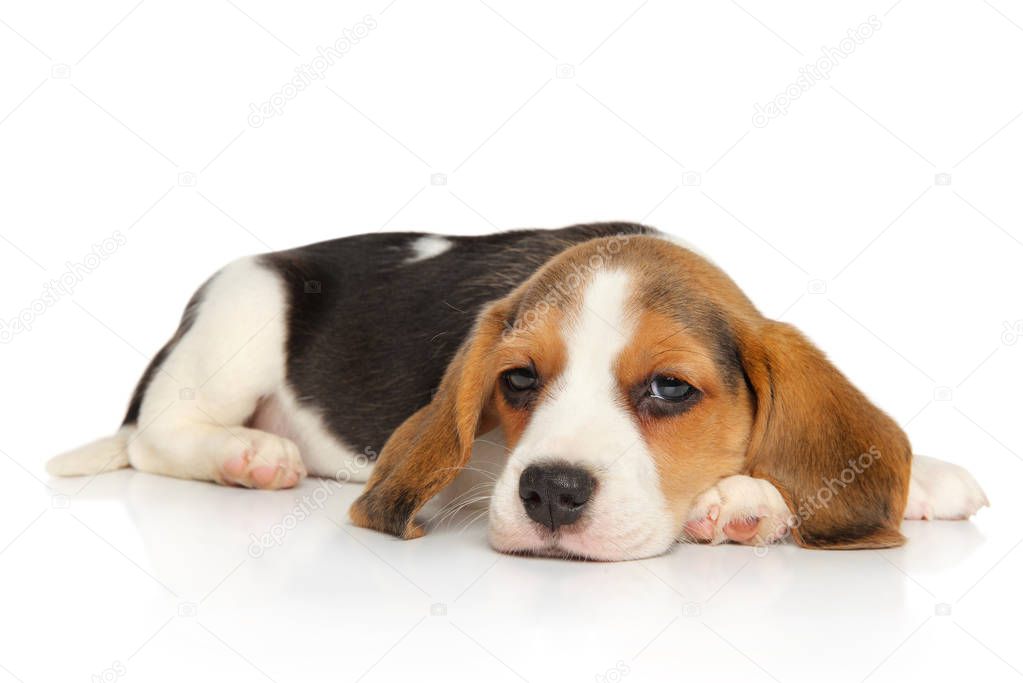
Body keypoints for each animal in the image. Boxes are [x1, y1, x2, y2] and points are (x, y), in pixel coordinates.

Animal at [46, 223, 982, 560]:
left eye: (669, 388)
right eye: (518, 378)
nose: (551, 493)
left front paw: (924, 476)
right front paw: (743, 498)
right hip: (243, 310)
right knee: (156, 433)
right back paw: (250, 453)